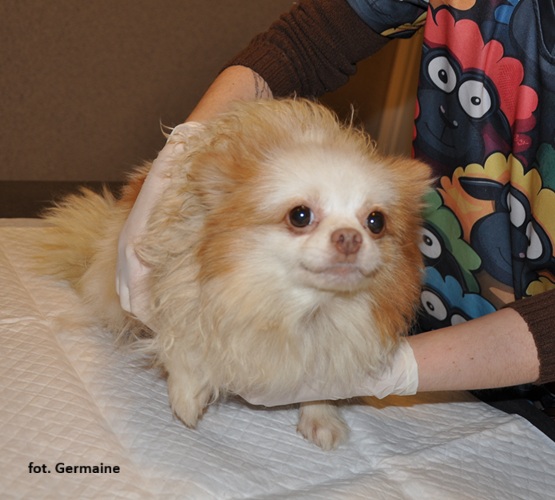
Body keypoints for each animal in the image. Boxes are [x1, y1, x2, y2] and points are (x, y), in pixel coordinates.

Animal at [36, 99, 431, 450]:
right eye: (300, 215)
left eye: (376, 222)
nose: (349, 237)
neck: (301, 310)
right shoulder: (179, 284)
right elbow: (185, 344)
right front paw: (186, 395)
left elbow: (321, 377)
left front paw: (321, 416)